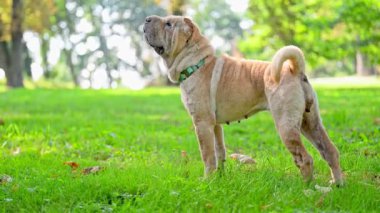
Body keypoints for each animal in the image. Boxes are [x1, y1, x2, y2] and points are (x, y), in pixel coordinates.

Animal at [143, 15, 344, 185]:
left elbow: (207, 155)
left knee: (305, 159)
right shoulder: (215, 126)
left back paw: (306, 188)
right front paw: (220, 177)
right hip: (310, 123)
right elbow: (219, 151)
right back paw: (337, 184)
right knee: (330, 151)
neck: (195, 62)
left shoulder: (202, 123)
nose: (147, 19)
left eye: (169, 24)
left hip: (286, 126)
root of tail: (294, 70)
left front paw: (207, 180)